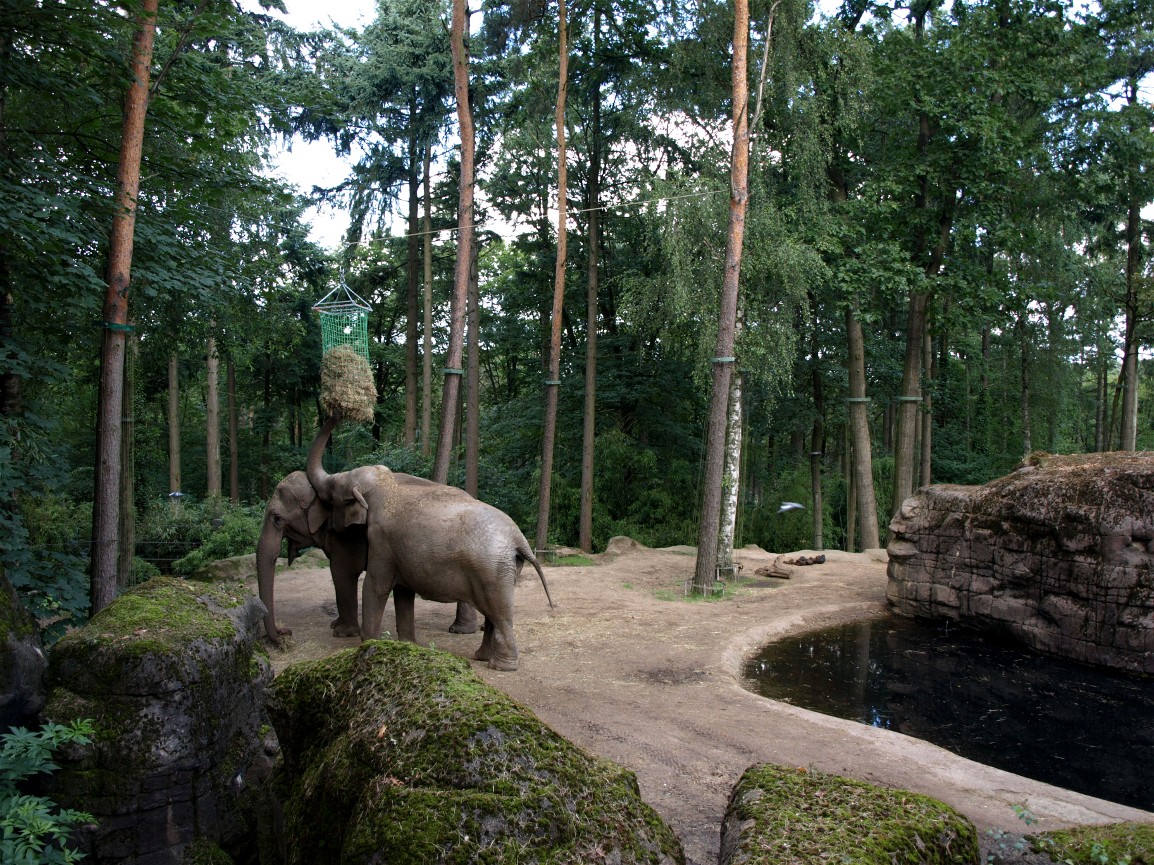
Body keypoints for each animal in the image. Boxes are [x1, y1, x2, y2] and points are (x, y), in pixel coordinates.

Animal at [306, 415, 554, 670]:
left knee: (500, 613)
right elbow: (403, 592)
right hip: (507, 567)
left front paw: (370, 644)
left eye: (332, 493)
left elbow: (376, 586)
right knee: (494, 614)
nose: (339, 413)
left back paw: (500, 666)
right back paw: (483, 657)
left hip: (491, 571)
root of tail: (518, 537)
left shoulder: (381, 541)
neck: (387, 488)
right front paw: (407, 645)